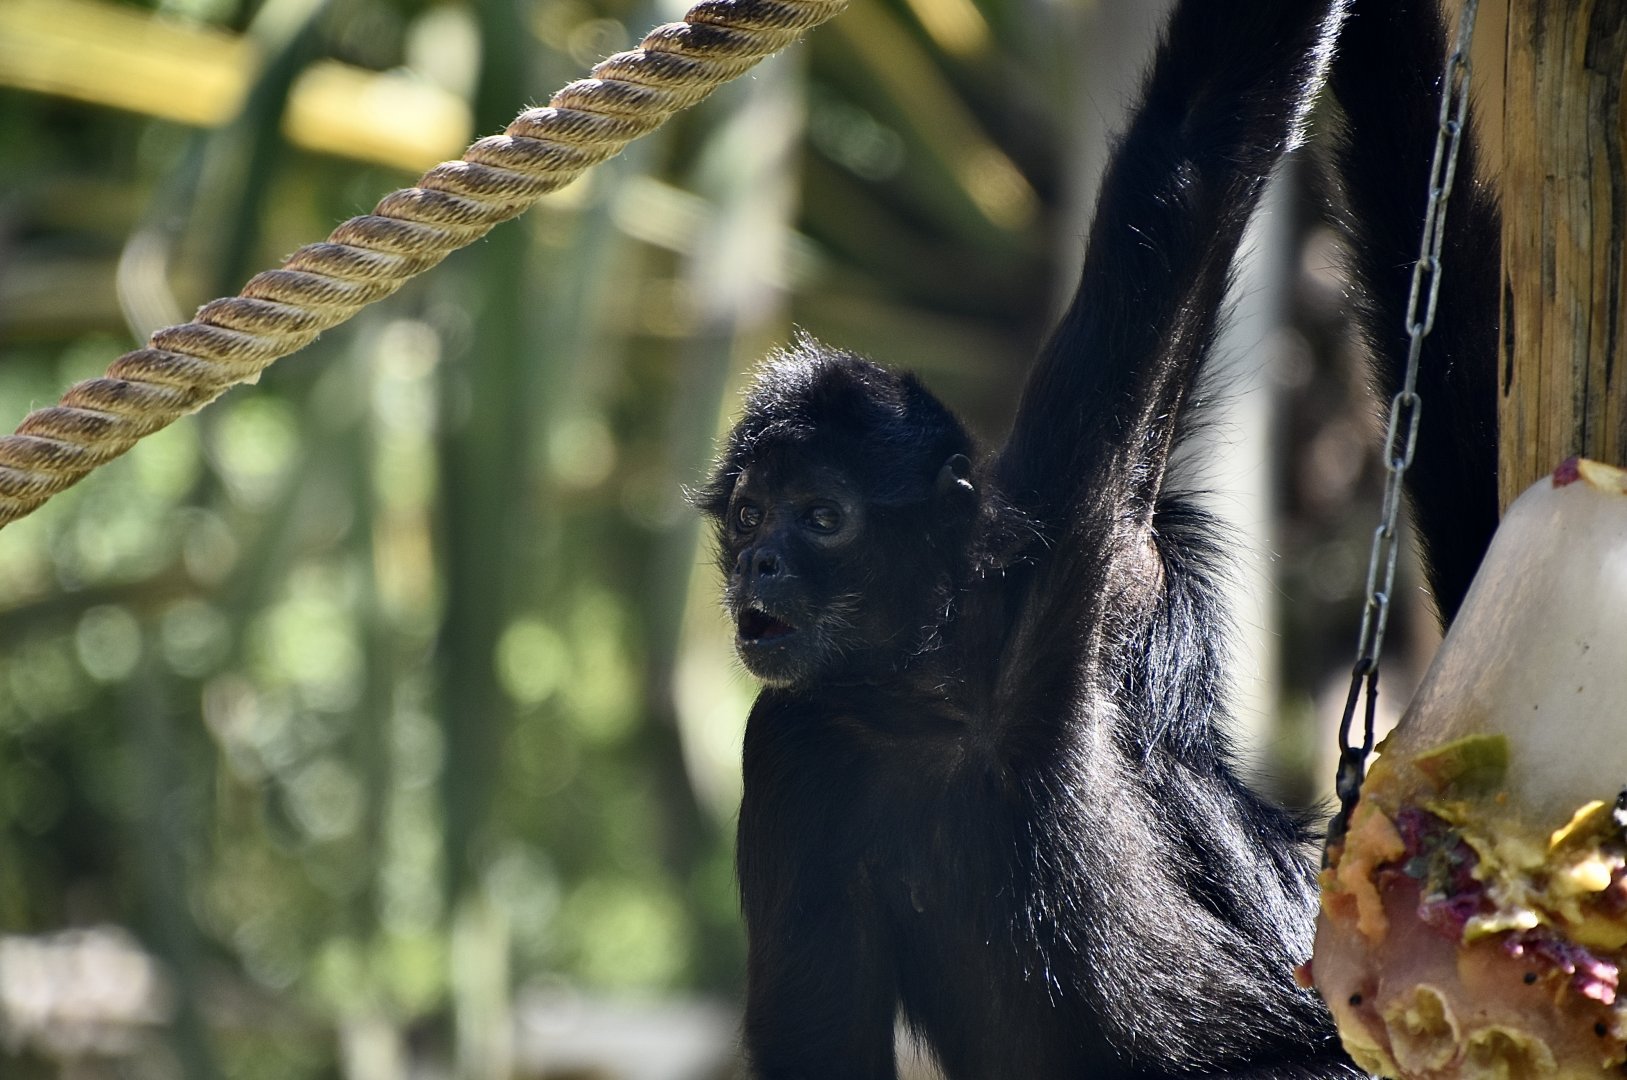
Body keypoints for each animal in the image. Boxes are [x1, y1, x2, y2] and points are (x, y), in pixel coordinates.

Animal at [691, 0, 1500, 1076]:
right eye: (748, 515)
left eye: (821, 517)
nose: (762, 561)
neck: (925, 694)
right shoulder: (788, 740)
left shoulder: (1076, 534)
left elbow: (1191, 149)